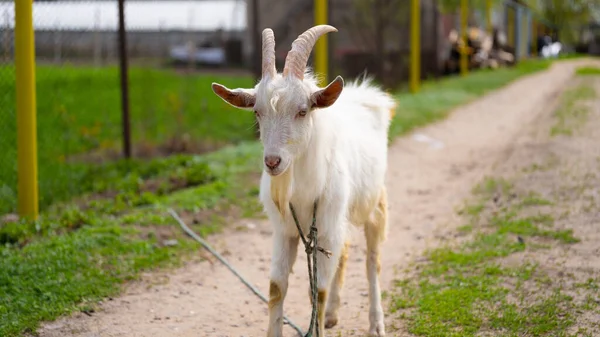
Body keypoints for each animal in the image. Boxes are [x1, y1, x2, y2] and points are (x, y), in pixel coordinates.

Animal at [211, 24, 394, 336]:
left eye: (302, 111)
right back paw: (332, 314)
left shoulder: (327, 229)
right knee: (345, 252)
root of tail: (365, 95)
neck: (302, 191)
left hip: (374, 202)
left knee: (372, 261)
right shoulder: (284, 231)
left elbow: (317, 291)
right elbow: (276, 287)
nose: (272, 162)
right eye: (257, 111)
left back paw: (376, 322)